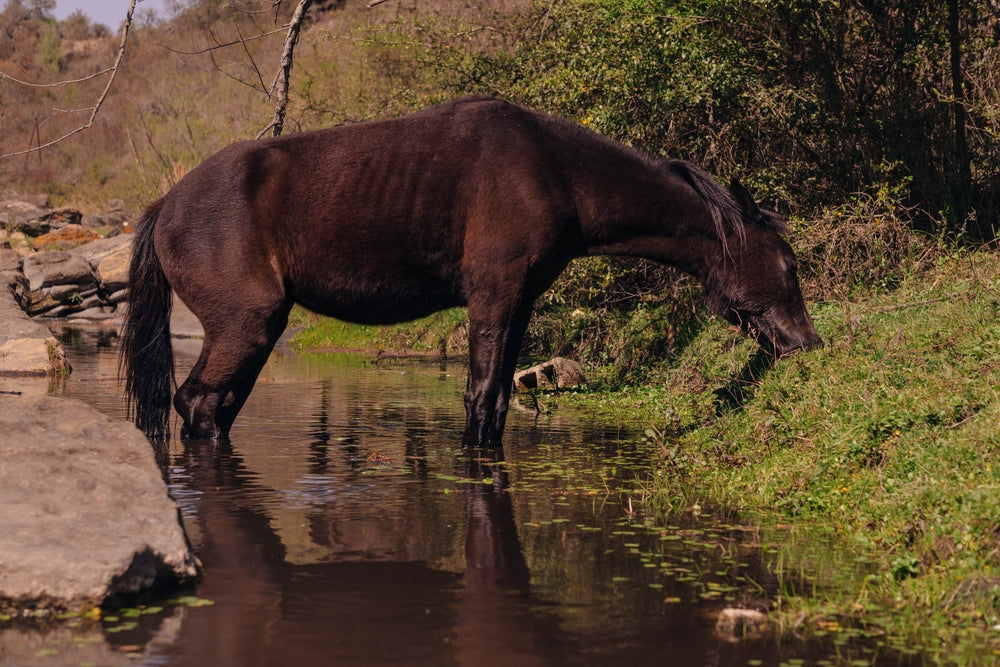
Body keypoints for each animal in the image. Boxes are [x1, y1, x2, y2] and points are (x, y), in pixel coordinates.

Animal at [120, 96, 822, 449]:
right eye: (787, 263)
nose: (809, 343)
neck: (555, 171)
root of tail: (164, 206)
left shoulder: (519, 302)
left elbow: (502, 400)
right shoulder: (493, 296)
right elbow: (481, 398)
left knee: (213, 409)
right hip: (247, 325)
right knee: (198, 404)